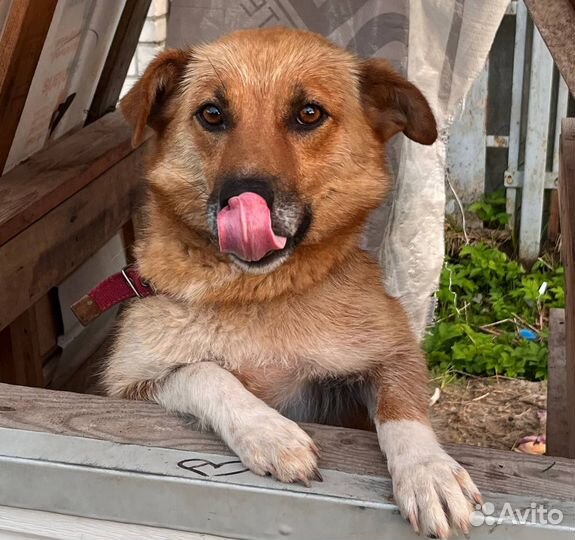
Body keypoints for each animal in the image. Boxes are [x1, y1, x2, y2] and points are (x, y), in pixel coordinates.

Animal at [106, 27, 484, 536]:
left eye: (309, 113)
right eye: (211, 113)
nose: (240, 198)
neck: (259, 291)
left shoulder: (394, 352)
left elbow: (404, 413)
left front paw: (430, 472)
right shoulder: (129, 383)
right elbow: (205, 371)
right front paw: (270, 433)